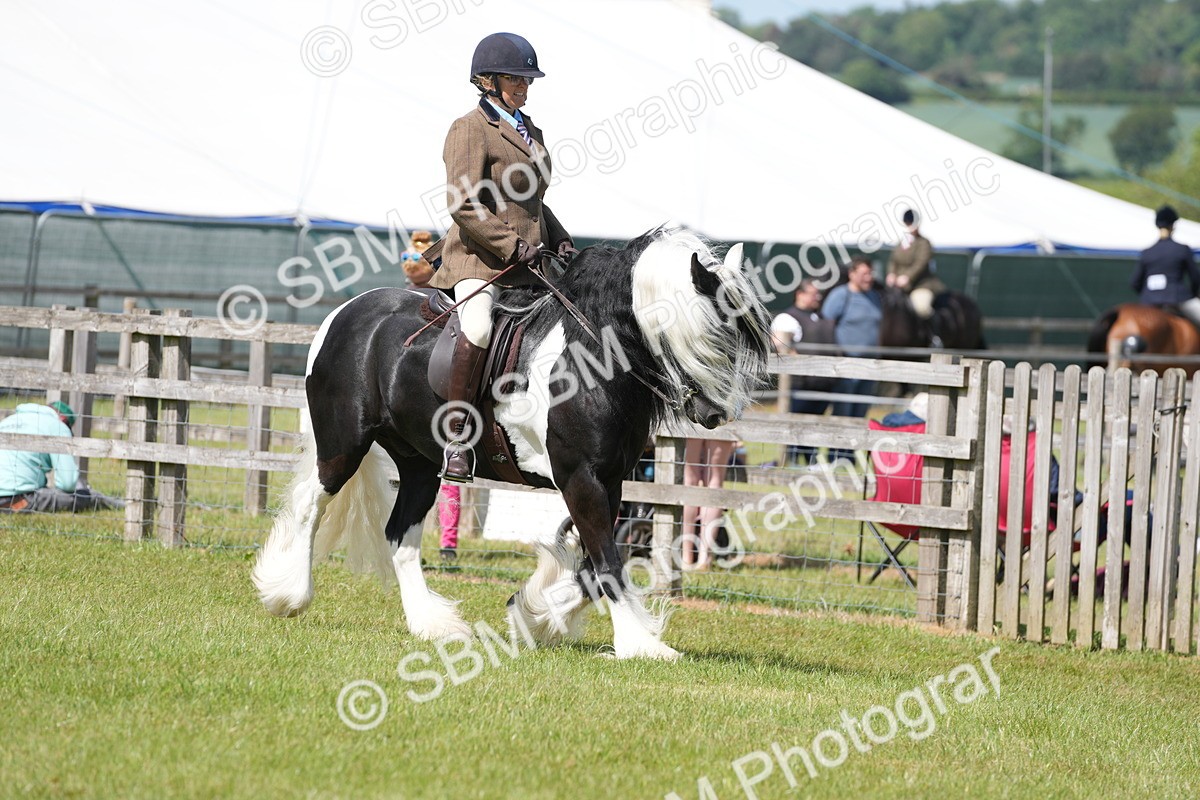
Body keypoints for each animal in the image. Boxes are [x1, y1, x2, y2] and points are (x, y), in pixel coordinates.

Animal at [251, 227, 771, 660]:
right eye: (708, 334)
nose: (716, 414)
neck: (592, 355)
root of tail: (346, 311)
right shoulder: (580, 479)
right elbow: (607, 561)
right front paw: (641, 645)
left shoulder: (610, 481)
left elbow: (593, 566)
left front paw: (535, 614)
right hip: (343, 443)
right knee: (310, 505)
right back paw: (288, 594)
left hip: (420, 462)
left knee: (399, 534)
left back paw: (432, 624)